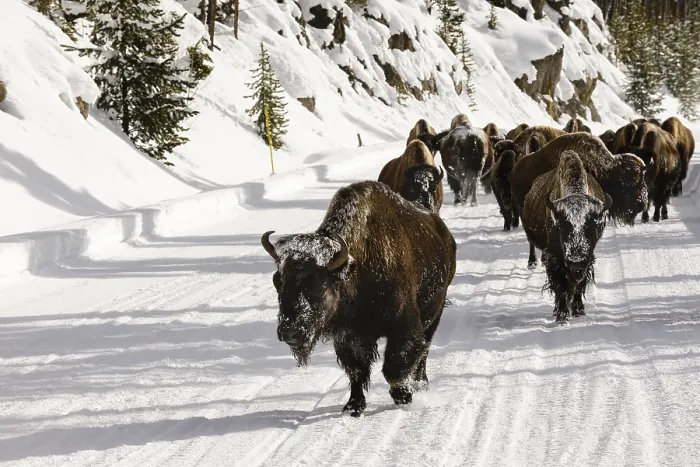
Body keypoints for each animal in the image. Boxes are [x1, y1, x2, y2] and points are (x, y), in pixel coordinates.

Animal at [261, 181, 456, 417]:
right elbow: (356, 370)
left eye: (318, 286)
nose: (289, 332)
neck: (357, 268)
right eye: (277, 281)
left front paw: (403, 397)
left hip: (435, 313)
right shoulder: (349, 337)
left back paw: (420, 385)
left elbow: (394, 367)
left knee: (424, 351)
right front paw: (353, 407)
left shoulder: (404, 328)